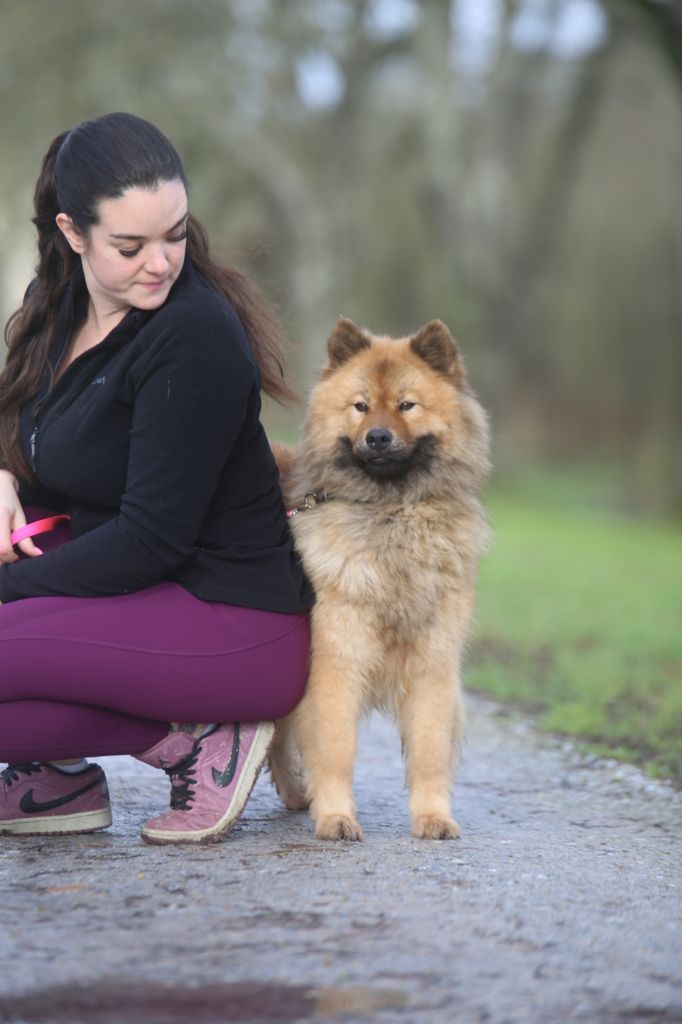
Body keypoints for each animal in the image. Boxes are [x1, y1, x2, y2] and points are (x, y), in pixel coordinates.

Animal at [270, 319, 489, 839]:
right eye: (361, 406)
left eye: (407, 405)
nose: (378, 438)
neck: (393, 512)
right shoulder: (336, 659)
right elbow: (335, 748)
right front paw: (335, 816)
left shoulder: (433, 662)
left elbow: (429, 750)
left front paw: (433, 817)